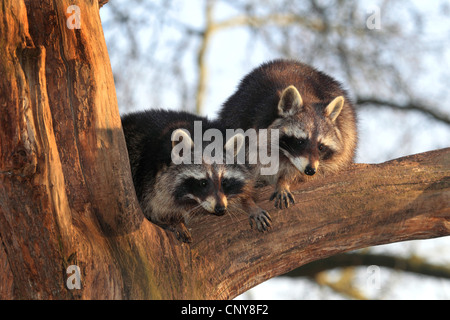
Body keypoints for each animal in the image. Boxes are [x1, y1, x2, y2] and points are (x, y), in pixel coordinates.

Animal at [119, 110, 272, 242]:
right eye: (203, 183)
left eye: (224, 182)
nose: (220, 209)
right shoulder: (147, 176)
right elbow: (154, 205)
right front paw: (173, 220)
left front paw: (249, 202)